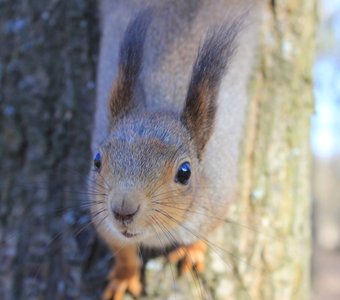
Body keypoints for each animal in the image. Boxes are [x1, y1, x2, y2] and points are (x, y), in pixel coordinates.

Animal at [89, 0, 260, 300]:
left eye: (184, 172)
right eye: (97, 160)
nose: (122, 210)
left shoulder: (219, 198)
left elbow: (205, 233)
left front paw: (191, 252)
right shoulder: (100, 216)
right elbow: (122, 251)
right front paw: (124, 275)